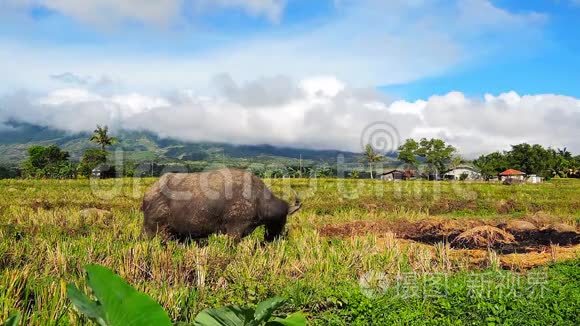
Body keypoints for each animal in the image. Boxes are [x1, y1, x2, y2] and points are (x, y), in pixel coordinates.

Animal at [142, 168, 302, 242]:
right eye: (283, 219)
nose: (274, 237)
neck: (258, 199)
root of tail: (149, 194)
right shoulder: (235, 231)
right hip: (152, 230)